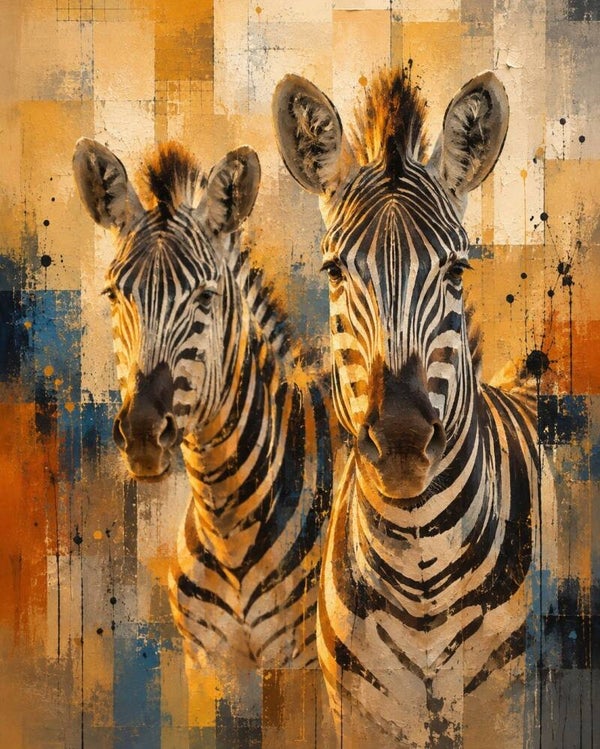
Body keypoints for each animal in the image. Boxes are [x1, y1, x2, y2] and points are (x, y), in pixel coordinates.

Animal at [72, 139, 341, 734]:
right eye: (113, 295)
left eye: (203, 299)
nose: (143, 433)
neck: (228, 522)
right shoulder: (209, 665)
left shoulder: (304, 668)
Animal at [273, 68, 556, 747]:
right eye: (334, 271)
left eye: (455, 271)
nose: (402, 438)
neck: (419, 573)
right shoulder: (357, 714)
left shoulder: (507, 710)